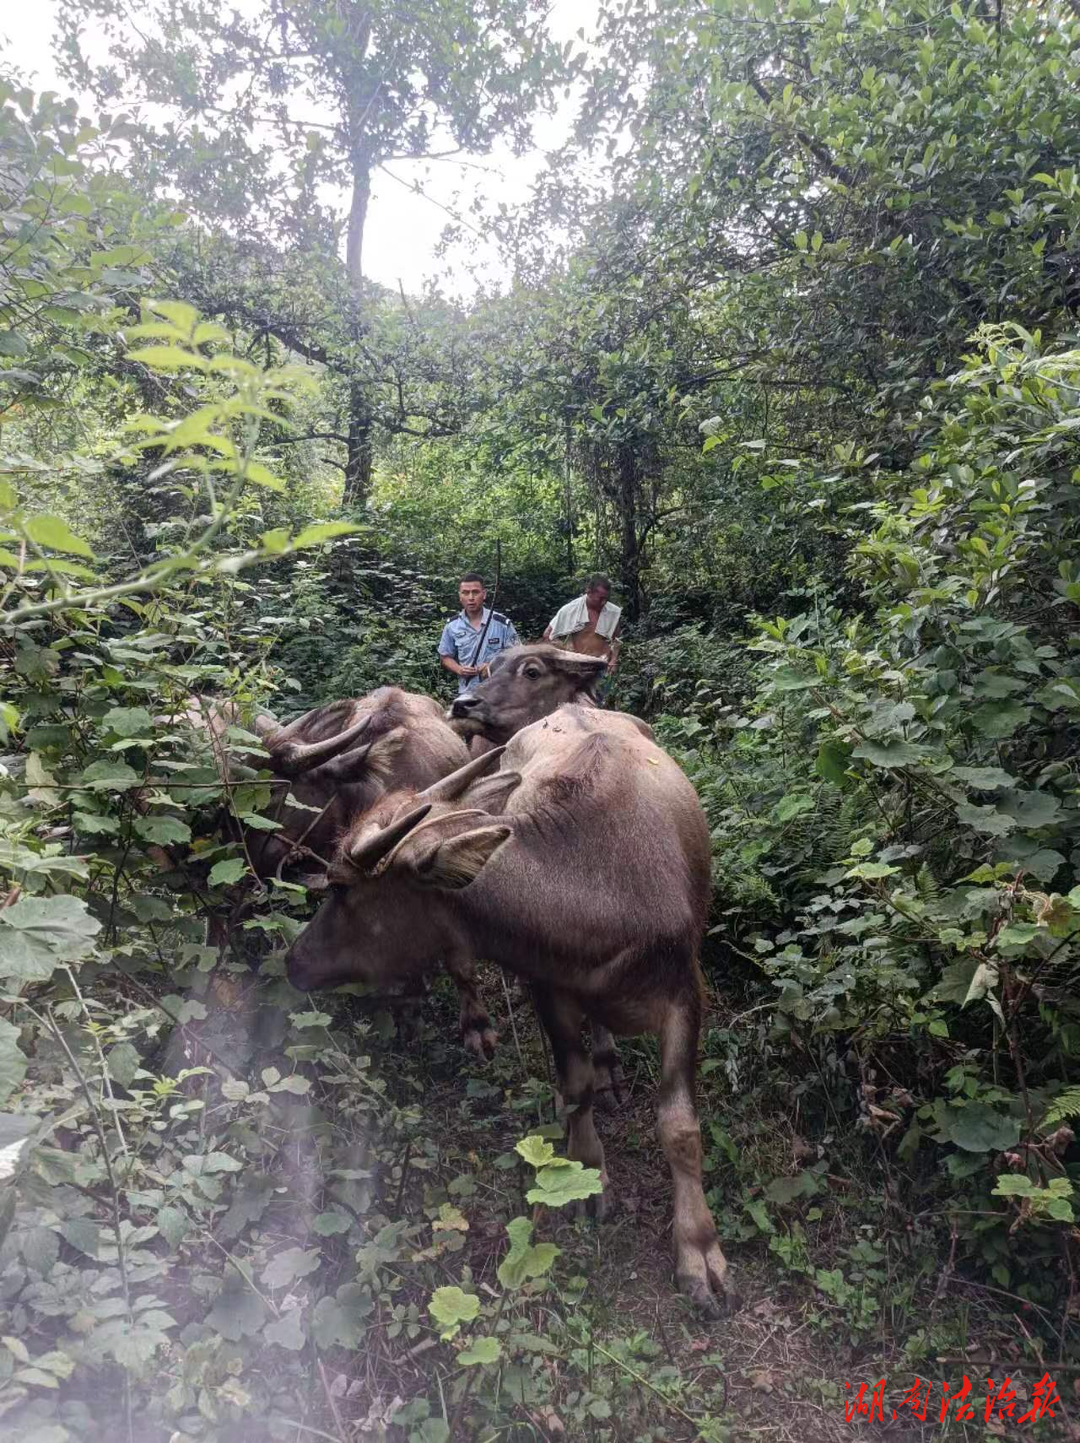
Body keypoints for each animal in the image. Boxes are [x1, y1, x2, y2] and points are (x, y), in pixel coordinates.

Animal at [284, 704, 733, 1316]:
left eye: (341, 889)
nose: (293, 961)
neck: (601, 887)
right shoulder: (550, 988)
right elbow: (575, 1086)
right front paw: (585, 1171)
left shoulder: (686, 996)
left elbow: (680, 1127)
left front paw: (699, 1250)